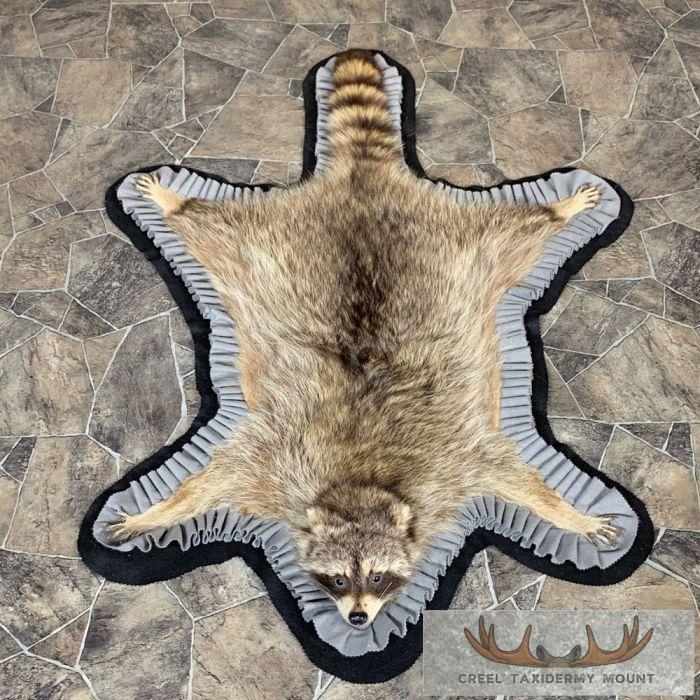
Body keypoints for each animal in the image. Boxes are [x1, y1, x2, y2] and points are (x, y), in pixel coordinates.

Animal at [109, 50, 619, 629]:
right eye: (335, 579)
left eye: (378, 576)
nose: (356, 620)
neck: (358, 486)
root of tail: (363, 176)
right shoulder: (274, 464)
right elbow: (210, 481)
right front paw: (158, 511)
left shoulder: (455, 463)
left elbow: (518, 480)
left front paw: (570, 514)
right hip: (259, 243)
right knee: (210, 225)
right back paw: (173, 201)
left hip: (470, 247)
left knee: (521, 230)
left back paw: (559, 210)